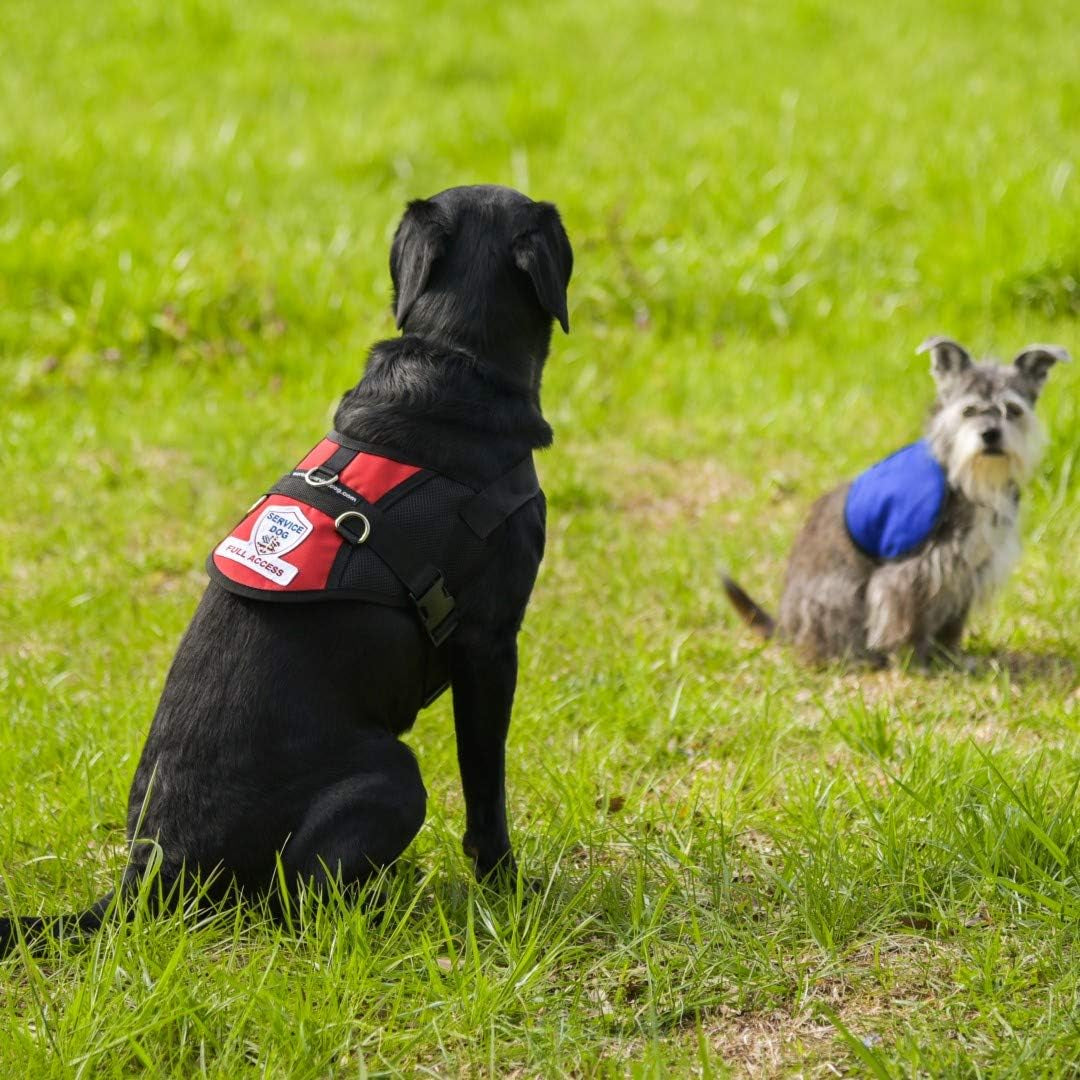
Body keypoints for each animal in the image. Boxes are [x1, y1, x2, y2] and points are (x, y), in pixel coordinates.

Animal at [2, 185, 574, 954]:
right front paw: (508, 891)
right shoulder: (490, 647)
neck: (453, 357)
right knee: (296, 900)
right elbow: (487, 793)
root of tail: (148, 874)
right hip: (394, 774)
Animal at [721, 332, 1067, 665]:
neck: (960, 474)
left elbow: (951, 624)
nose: (991, 434)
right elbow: (906, 620)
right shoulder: (909, 573)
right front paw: (915, 661)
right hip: (839, 596)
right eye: (968, 410)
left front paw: (949, 657)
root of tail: (787, 626)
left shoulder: (967, 570)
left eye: (1014, 410)